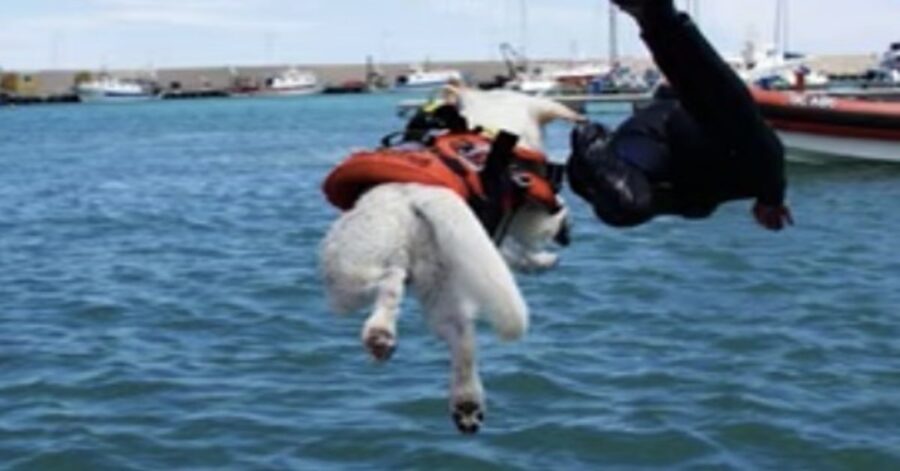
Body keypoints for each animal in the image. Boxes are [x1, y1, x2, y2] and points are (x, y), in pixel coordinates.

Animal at [320, 85, 580, 436]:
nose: (566, 236)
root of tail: (419, 195)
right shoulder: (518, 225)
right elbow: (536, 235)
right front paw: (547, 254)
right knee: (406, 294)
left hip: (363, 271)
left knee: (407, 295)